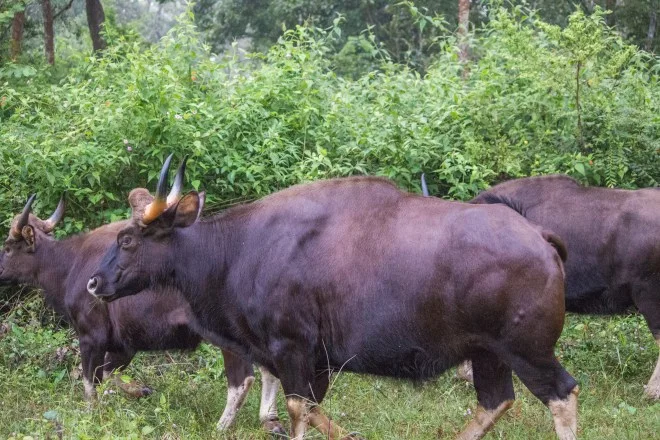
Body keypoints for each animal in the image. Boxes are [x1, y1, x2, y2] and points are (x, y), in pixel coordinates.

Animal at [0, 189, 284, 434]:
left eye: (8, 247)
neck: (68, 266)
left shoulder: (91, 336)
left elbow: (90, 383)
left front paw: (92, 417)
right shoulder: (124, 344)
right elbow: (108, 375)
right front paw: (140, 391)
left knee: (243, 378)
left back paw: (221, 427)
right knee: (268, 369)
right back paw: (270, 420)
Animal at [88, 158, 579, 439]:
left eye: (128, 240)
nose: (94, 283)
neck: (238, 250)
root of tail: (539, 236)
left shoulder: (292, 348)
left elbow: (296, 409)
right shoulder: (315, 360)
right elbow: (307, 409)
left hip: (527, 350)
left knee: (562, 394)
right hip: (488, 352)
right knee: (495, 401)